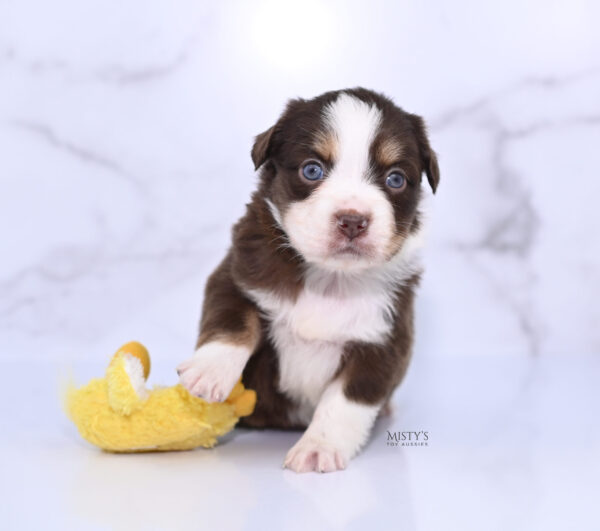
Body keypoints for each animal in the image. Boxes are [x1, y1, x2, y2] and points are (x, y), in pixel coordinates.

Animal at [176, 87, 438, 474]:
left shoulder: (384, 339)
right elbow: (233, 322)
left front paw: (318, 448)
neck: (330, 278)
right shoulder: (237, 274)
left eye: (395, 179)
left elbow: (344, 402)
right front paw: (208, 373)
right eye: (312, 170)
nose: (353, 220)